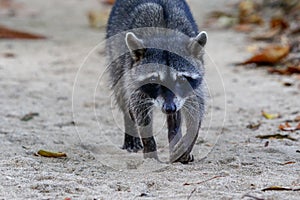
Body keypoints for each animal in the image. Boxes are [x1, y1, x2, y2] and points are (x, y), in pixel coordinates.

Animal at [105, 0, 206, 164]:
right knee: (122, 93)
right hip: (115, 56)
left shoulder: (194, 85)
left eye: (181, 79)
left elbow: (196, 107)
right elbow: (138, 108)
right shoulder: (133, 78)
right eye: (154, 80)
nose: (169, 108)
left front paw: (187, 140)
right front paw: (150, 151)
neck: (165, 36)